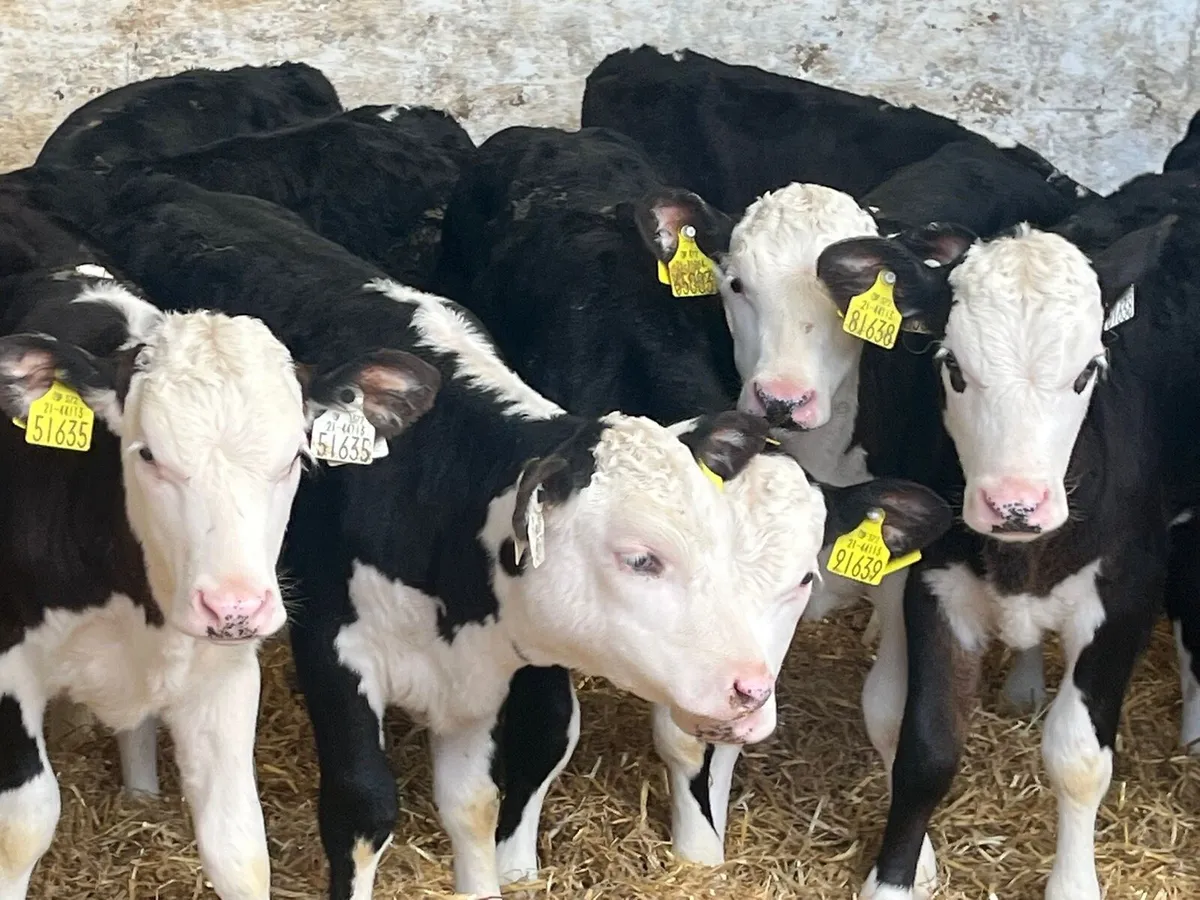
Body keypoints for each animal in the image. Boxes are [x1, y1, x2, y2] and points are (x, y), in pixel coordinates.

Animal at [0, 181, 441, 900]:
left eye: (296, 458)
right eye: (148, 454)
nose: (235, 607)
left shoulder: (224, 677)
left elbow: (238, 848)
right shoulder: (7, 665)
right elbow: (24, 825)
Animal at [812, 178, 1189, 899]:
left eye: (1087, 371)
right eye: (953, 367)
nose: (1016, 503)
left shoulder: (1126, 597)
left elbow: (1078, 758)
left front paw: (1073, 884)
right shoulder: (936, 590)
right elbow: (927, 748)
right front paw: (894, 879)